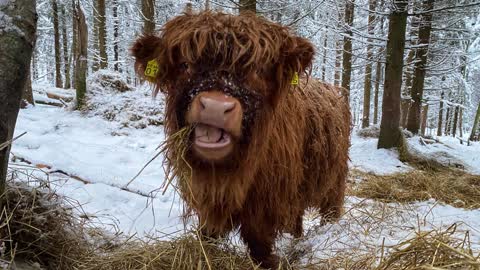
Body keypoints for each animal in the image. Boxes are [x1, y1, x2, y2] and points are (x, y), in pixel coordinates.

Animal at [131, 11, 348, 268]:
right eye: (185, 65)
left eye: (258, 71)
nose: (215, 106)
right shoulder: (207, 199)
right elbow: (207, 236)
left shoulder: (266, 205)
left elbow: (259, 244)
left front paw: (270, 262)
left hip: (334, 184)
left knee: (329, 211)